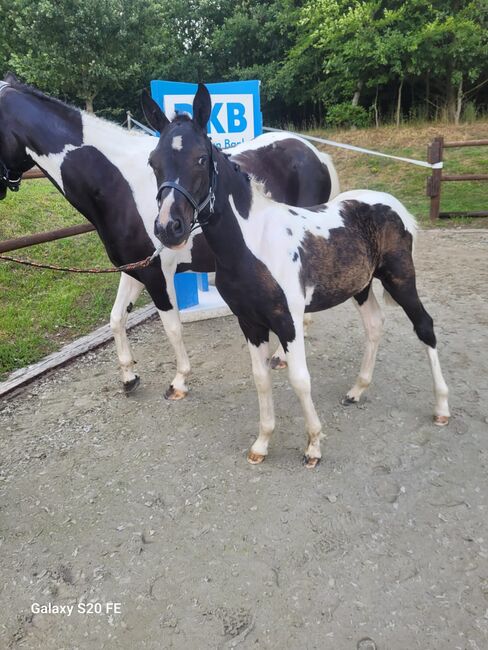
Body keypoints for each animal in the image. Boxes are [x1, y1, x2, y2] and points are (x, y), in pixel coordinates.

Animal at [0, 71, 340, 394]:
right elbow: (116, 319)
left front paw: (179, 381)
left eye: (201, 159)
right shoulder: (134, 268)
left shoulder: (157, 274)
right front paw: (129, 376)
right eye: (152, 162)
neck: (117, 184)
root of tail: (314, 152)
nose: (167, 227)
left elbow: (172, 327)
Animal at [148, 85, 450, 466]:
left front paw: (313, 446)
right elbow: (261, 378)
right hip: (362, 285)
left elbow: (299, 378)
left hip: (400, 278)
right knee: (374, 325)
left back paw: (441, 408)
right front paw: (262, 444)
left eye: (201, 158)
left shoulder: (288, 319)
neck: (253, 243)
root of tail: (392, 204)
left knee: (425, 326)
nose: (168, 227)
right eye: (153, 162)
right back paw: (356, 390)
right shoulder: (249, 321)